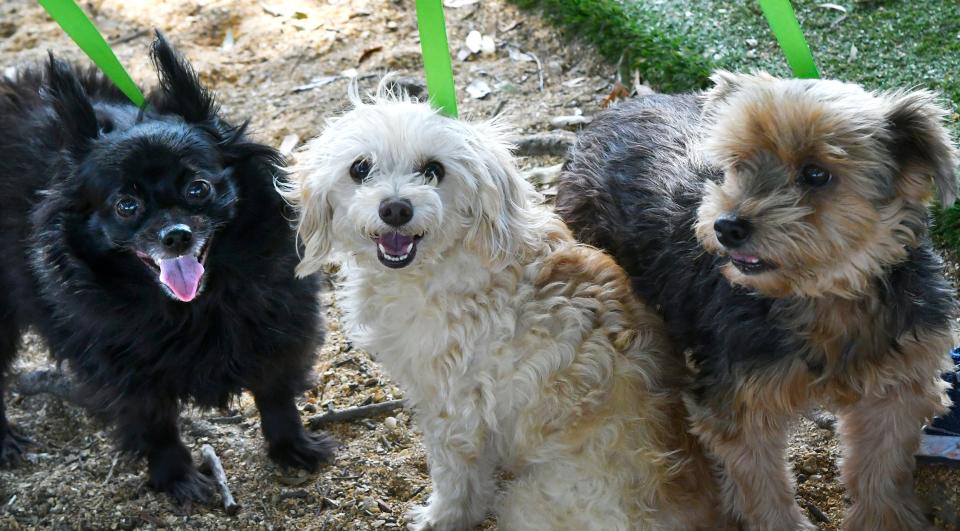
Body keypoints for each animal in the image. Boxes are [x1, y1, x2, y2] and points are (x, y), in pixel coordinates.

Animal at [0, 36, 336, 502]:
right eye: (126, 205)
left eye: (198, 188)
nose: (175, 235)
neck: (196, 305)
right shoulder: (127, 373)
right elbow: (155, 425)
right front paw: (177, 477)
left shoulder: (276, 328)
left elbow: (276, 395)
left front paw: (292, 446)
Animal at [278, 81, 720, 528]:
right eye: (360, 168)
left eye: (433, 170)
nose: (396, 209)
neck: (447, 262)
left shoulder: (454, 408)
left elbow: (454, 476)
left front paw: (441, 517)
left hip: (524, 502)